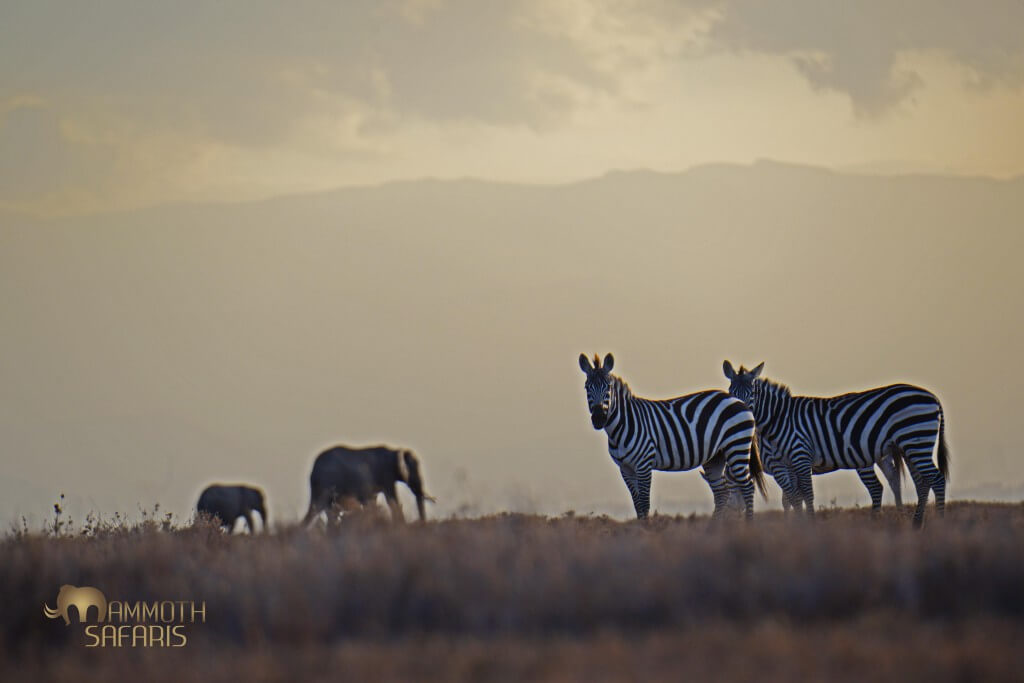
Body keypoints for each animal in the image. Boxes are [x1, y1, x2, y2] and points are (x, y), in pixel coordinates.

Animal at [302, 445, 435, 525]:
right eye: (413, 470)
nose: (423, 523)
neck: (395, 451)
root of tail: (313, 470)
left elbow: (373, 500)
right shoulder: (386, 474)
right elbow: (392, 500)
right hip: (327, 482)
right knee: (323, 508)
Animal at [579, 353, 766, 519]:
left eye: (608, 388)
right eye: (587, 387)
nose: (598, 419)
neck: (623, 424)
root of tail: (737, 401)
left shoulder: (644, 464)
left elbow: (644, 504)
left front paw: (645, 532)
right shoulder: (625, 468)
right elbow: (637, 504)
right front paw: (638, 531)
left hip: (737, 446)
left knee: (748, 487)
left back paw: (748, 526)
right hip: (715, 456)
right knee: (722, 492)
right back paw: (711, 531)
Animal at [722, 361, 949, 527]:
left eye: (752, 394)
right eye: (731, 392)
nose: (738, 414)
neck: (780, 419)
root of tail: (933, 396)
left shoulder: (798, 456)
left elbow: (804, 494)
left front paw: (808, 525)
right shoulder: (785, 464)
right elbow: (792, 497)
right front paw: (796, 525)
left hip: (913, 441)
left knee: (935, 479)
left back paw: (938, 522)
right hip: (908, 446)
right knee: (920, 482)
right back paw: (914, 523)